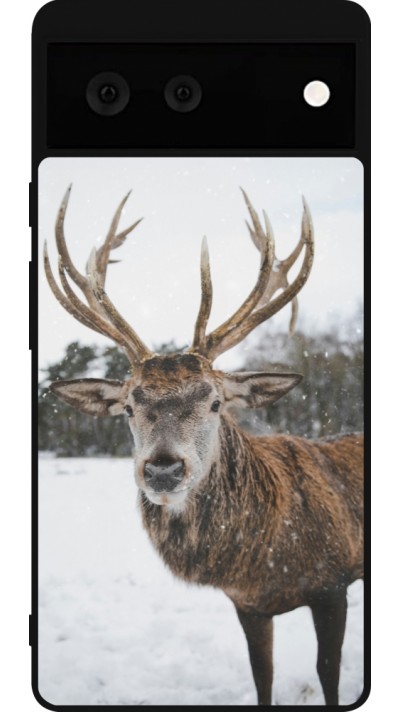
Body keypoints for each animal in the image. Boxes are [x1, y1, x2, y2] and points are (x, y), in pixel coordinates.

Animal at [43, 186, 364, 706]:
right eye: (128, 407)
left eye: (215, 402)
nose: (163, 470)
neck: (265, 559)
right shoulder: (248, 604)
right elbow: (262, 675)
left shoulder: (333, 582)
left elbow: (328, 674)